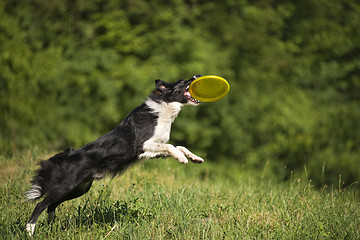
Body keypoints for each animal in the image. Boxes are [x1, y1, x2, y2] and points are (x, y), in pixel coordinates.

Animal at [26, 75, 204, 236]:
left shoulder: (151, 152)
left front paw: (194, 157)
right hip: (65, 186)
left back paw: (51, 226)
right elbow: (170, 146)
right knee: (40, 205)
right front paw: (182, 158)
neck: (163, 109)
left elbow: (178, 146)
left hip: (78, 189)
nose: (197, 75)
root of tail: (62, 157)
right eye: (182, 81)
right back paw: (29, 230)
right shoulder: (141, 146)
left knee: (50, 206)